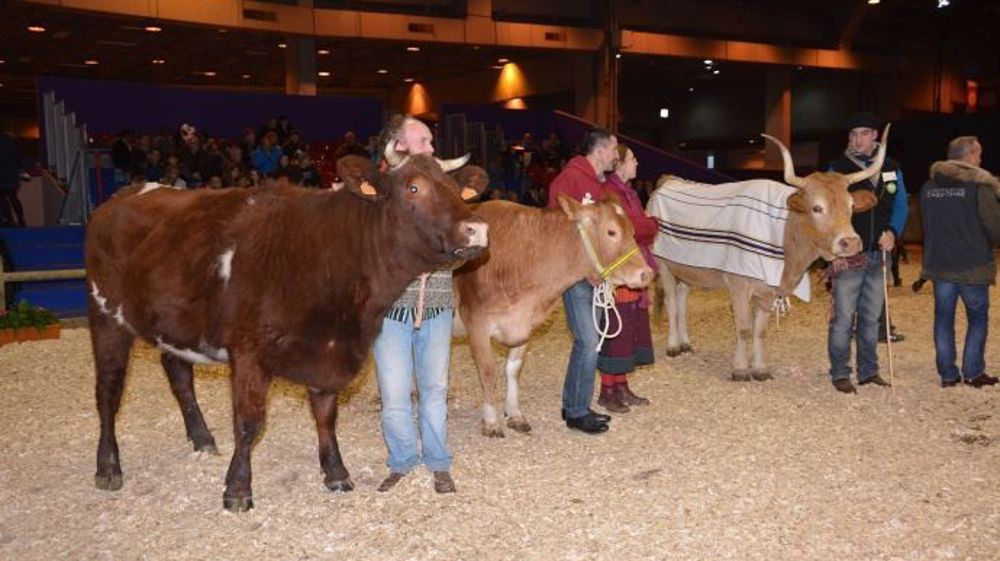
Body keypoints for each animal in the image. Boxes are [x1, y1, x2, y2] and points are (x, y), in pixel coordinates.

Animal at [85, 148, 488, 511]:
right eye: (413, 187)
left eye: (456, 187)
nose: (478, 229)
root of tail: (121, 197)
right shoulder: (248, 351)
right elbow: (249, 423)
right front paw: (237, 490)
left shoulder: (329, 350)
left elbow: (326, 416)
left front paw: (336, 473)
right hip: (106, 316)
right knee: (108, 392)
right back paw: (107, 466)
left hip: (175, 324)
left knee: (178, 373)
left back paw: (202, 439)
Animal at [453, 194, 653, 437]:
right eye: (611, 232)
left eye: (632, 231)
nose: (646, 274)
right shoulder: (476, 323)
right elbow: (489, 372)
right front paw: (491, 422)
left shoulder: (524, 324)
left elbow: (513, 370)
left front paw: (515, 414)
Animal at [648, 128, 887, 381]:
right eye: (817, 207)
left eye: (851, 206)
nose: (850, 242)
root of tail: (669, 180)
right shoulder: (739, 285)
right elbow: (744, 328)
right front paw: (740, 368)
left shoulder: (767, 291)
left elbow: (760, 330)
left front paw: (760, 368)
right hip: (663, 264)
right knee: (672, 302)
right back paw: (673, 346)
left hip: (686, 269)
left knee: (682, 299)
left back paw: (686, 343)